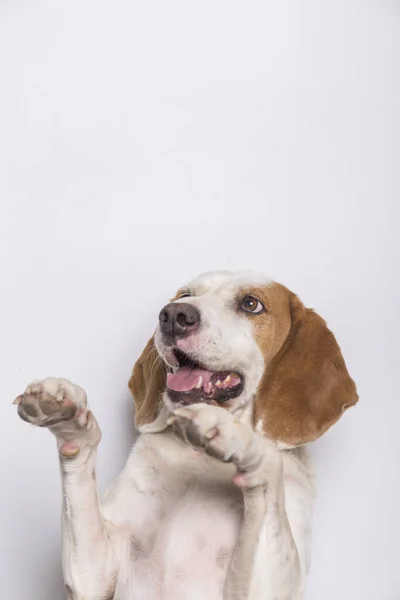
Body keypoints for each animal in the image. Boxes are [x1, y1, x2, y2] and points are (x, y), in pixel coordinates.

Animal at [13, 272, 360, 600]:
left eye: (251, 304)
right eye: (185, 295)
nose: (173, 315)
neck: (199, 460)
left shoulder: (267, 586)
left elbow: (267, 464)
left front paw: (235, 436)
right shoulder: (93, 577)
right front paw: (69, 419)